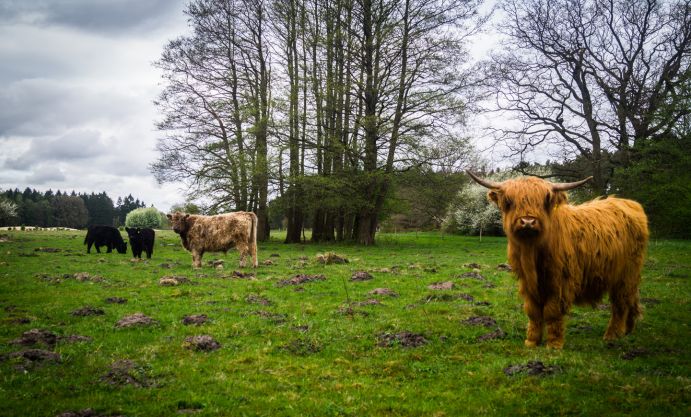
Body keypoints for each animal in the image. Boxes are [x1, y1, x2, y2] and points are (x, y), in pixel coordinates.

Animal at [468, 171, 652, 350]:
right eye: (509, 201)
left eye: (544, 201)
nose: (528, 221)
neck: (532, 252)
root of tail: (630, 203)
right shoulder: (527, 282)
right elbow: (533, 311)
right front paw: (532, 341)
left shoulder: (560, 281)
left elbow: (552, 312)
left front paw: (554, 344)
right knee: (631, 298)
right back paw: (628, 329)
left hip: (625, 274)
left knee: (621, 303)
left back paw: (612, 335)